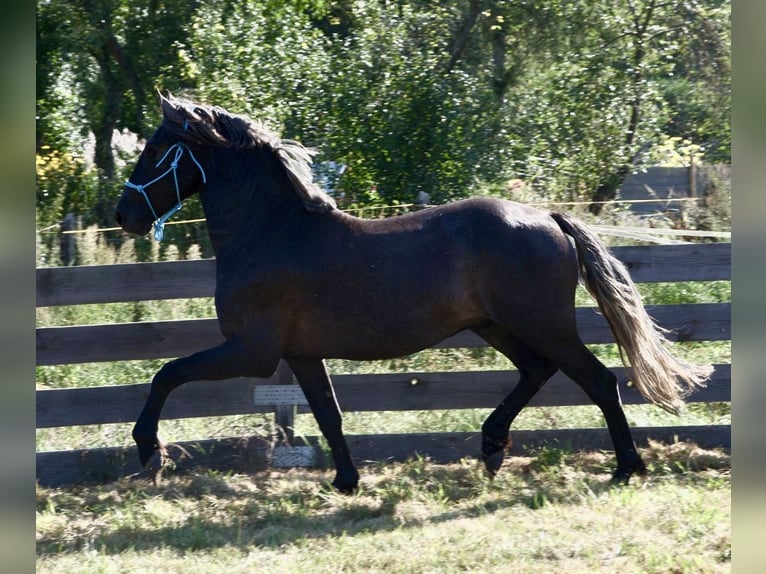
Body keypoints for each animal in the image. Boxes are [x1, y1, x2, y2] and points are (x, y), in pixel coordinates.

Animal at [114, 95, 712, 496]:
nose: (124, 215)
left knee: (599, 380)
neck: (271, 232)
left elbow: (166, 373)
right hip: (495, 325)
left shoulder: (252, 351)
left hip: (544, 324)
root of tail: (550, 218)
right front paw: (346, 481)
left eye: (155, 148)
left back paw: (625, 467)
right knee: (537, 371)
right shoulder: (299, 354)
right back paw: (491, 448)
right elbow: (328, 414)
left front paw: (149, 450)